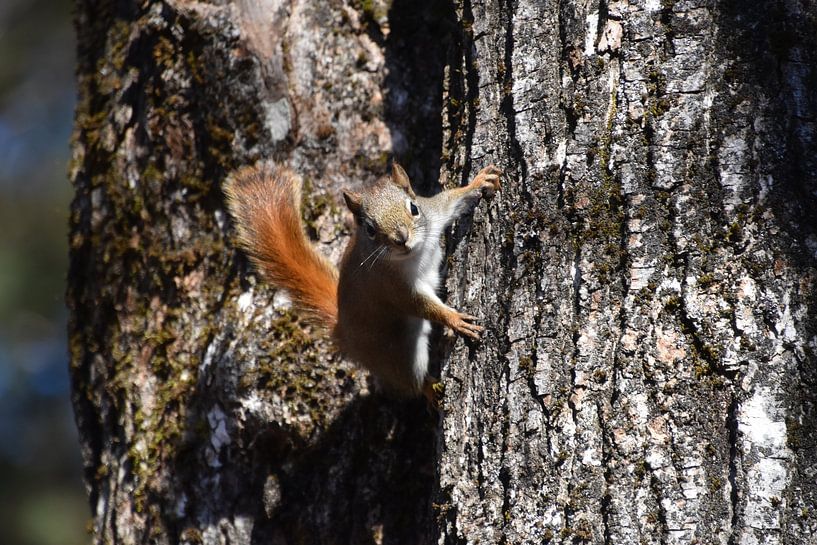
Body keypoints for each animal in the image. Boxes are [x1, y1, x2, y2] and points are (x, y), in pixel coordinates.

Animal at [224, 161, 501, 399]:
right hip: (397, 354)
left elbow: (453, 200)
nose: (401, 238)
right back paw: (429, 389)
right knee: (408, 381)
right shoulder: (391, 286)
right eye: (369, 229)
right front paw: (454, 319)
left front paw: (480, 181)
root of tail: (345, 334)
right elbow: (421, 305)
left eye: (413, 208)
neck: (414, 254)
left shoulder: (435, 214)